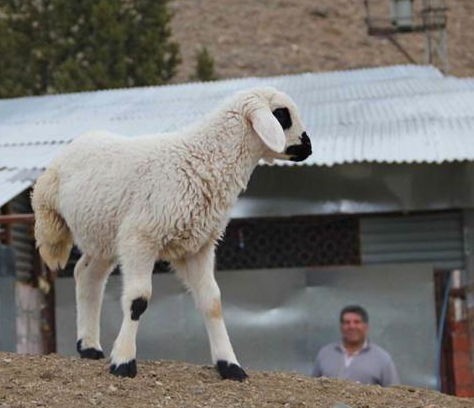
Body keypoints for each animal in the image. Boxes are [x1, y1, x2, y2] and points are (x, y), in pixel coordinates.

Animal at [32, 85, 312, 380]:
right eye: (282, 115)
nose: (308, 147)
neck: (204, 157)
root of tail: (82, 139)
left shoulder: (198, 247)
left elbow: (212, 302)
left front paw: (229, 365)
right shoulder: (140, 237)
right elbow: (138, 300)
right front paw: (123, 362)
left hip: (104, 235)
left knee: (87, 276)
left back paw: (88, 346)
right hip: (54, 218)